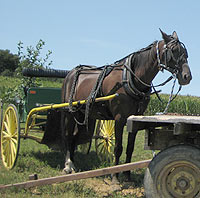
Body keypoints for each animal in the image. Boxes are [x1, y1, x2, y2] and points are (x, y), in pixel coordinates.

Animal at [61, 29, 192, 183]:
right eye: (173, 50)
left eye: (185, 51)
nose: (187, 77)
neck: (131, 79)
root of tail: (70, 73)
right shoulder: (119, 118)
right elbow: (118, 148)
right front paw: (115, 177)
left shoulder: (135, 118)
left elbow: (130, 147)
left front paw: (127, 175)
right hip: (70, 112)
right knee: (68, 136)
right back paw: (68, 165)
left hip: (82, 114)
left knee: (75, 137)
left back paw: (74, 164)